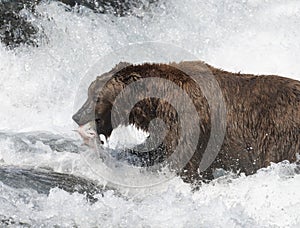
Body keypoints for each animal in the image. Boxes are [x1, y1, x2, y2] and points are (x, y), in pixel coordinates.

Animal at [73, 60, 300, 183]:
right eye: (89, 92)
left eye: (95, 96)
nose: (76, 116)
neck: (155, 103)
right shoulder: (165, 127)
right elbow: (153, 151)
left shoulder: (188, 121)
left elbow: (186, 161)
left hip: (278, 134)